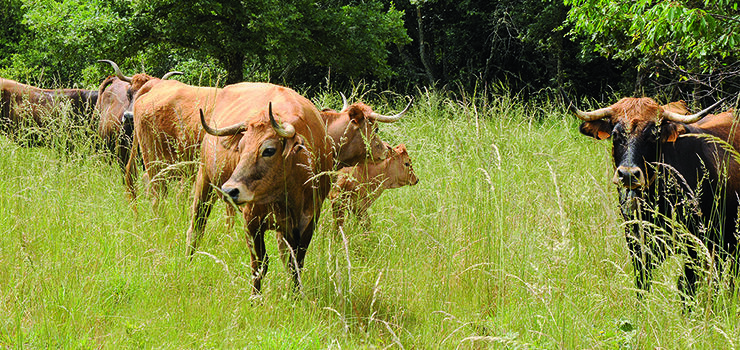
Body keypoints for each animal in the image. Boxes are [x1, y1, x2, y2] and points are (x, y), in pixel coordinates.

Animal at [186, 82, 334, 296]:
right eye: (240, 147)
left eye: (269, 150)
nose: (230, 190)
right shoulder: (252, 220)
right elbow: (260, 265)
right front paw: (255, 298)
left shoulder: (309, 219)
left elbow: (296, 263)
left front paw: (296, 296)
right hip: (204, 179)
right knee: (196, 228)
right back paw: (187, 264)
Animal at [568, 96, 736, 304]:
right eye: (615, 135)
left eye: (653, 135)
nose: (628, 174)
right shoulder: (636, 243)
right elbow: (642, 283)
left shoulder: (696, 245)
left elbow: (685, 286)